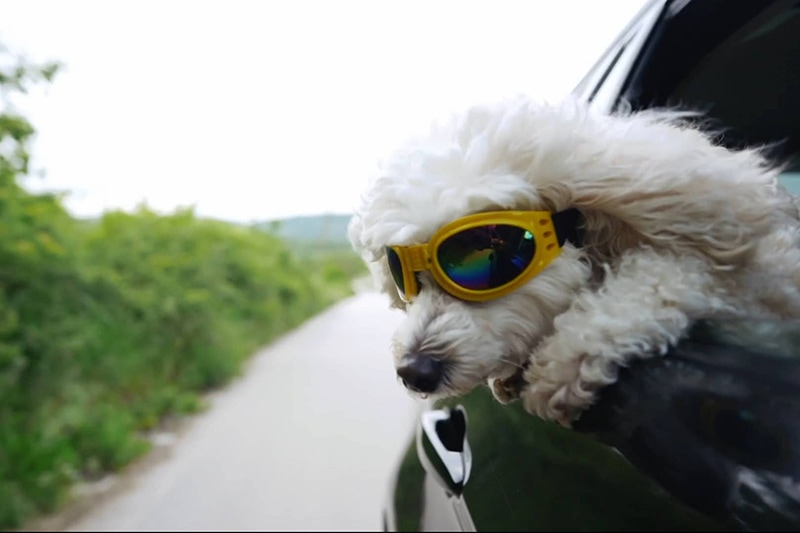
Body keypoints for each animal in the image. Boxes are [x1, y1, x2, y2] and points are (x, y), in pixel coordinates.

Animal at [346, 95, 800, 426]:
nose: (413, 371)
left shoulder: (761, 288)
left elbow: (671, 274)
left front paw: (570, 355)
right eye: (404, 277)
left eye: (483, 252)